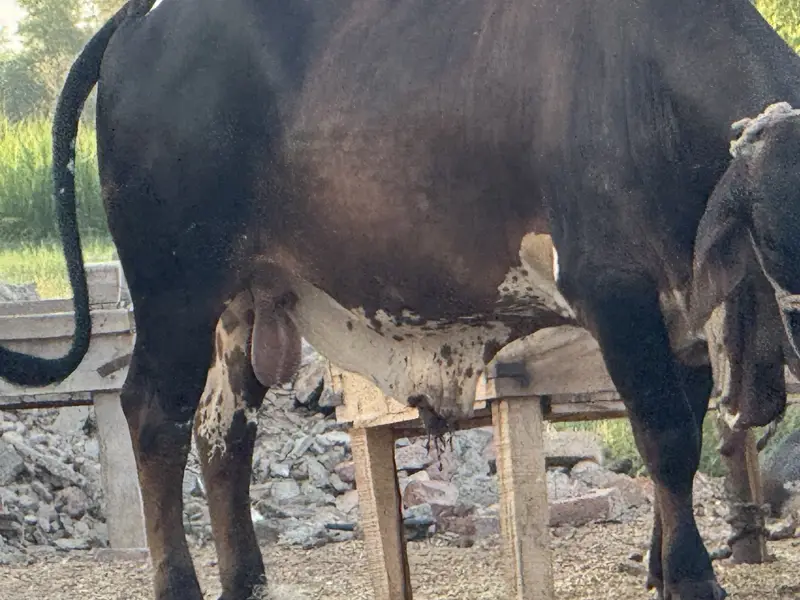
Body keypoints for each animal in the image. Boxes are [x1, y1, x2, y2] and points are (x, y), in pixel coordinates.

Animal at [2, 0, 800, 598]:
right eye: (772, 239)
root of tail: (141, 16)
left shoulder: (682, 315)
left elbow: (684, 436)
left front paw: (663, 567)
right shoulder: (615, 293)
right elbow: (667, 438)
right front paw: (691, 578)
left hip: (242, 300)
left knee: (224, 431)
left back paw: (248, 583)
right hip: (175, 290)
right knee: (155, 419)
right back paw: (180, 585)